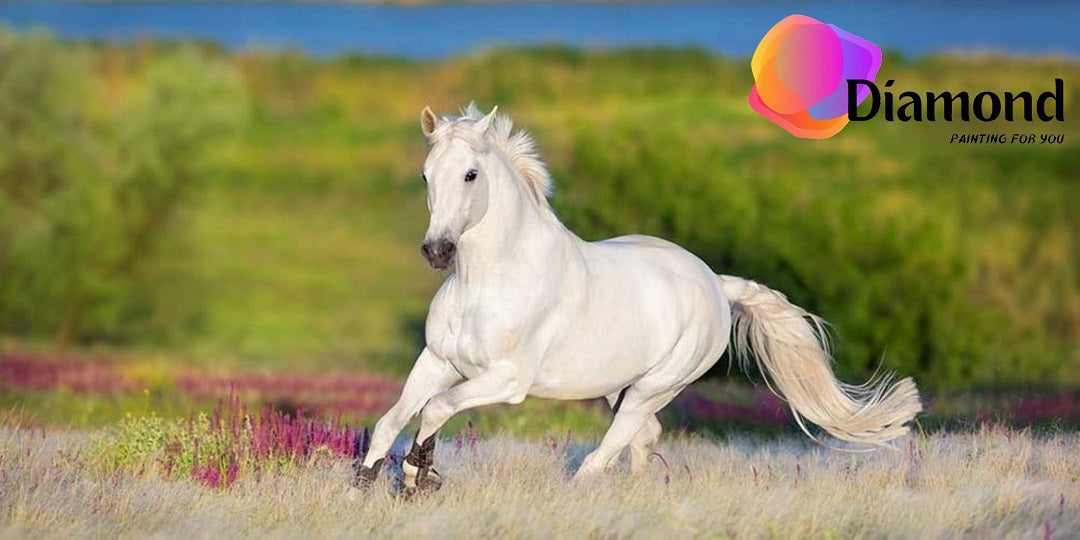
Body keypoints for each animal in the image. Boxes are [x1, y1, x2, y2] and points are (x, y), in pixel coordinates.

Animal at [353, 104, 921, 493]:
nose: (437, 250)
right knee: (643, 440)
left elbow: (435, 410)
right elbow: (390, 421)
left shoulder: (506, 380)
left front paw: (418, 475)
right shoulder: (437, 360)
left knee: (608, 452)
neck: (488, 281)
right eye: (426, 175)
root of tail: (715, 283)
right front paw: (367, 484)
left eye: (471, 174)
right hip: (617, 388)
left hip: (654, 386)